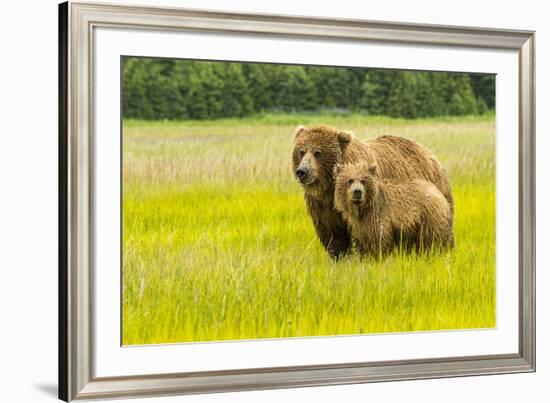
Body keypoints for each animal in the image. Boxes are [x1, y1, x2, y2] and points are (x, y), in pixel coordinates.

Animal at [294, 124, 458, 260]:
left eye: (318, 152)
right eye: (301, 151)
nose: (302, 171)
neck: (329, 189)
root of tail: (427, 152)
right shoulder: (322, 206)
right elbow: (333, 236)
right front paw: (340, 259)